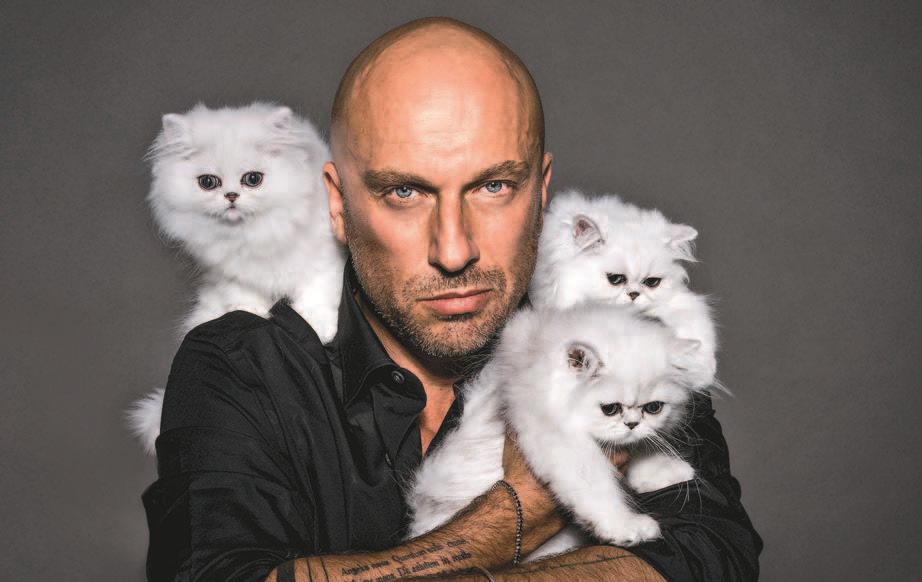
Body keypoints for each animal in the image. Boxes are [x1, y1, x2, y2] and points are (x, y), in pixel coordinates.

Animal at [127, 102, 345, 454]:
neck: (254, 236)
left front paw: (319, 326)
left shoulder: (325, 259)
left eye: (252, 179)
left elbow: (317, 293)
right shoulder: (227, 272)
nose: (230, 196)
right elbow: (243, 293)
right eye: (208, 182)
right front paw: (252, 312)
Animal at [406, 304, 708, 556]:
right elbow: (596, 486)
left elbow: (640, 450)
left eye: (653, 408)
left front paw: (666, 471)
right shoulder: (559, 441)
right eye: (610, 409)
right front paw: (625, 527)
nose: (632, 424)